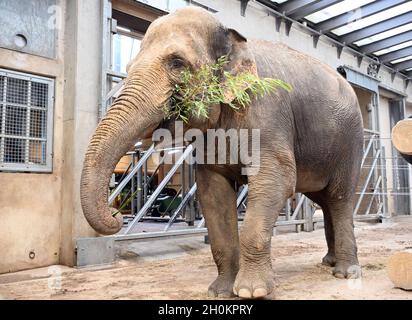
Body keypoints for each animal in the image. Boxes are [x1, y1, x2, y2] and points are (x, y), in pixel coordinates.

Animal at [80, 6, 364, 298]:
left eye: (177, 63)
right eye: (127, 69)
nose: (116, 216)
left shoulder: (268, 114)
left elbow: (277, 181)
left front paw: (252, 291)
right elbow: (213, 193)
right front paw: (220, 292)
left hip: (350, 141)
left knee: (340, 198)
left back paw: (345, 272)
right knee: (324, 200)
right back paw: (328, 261)